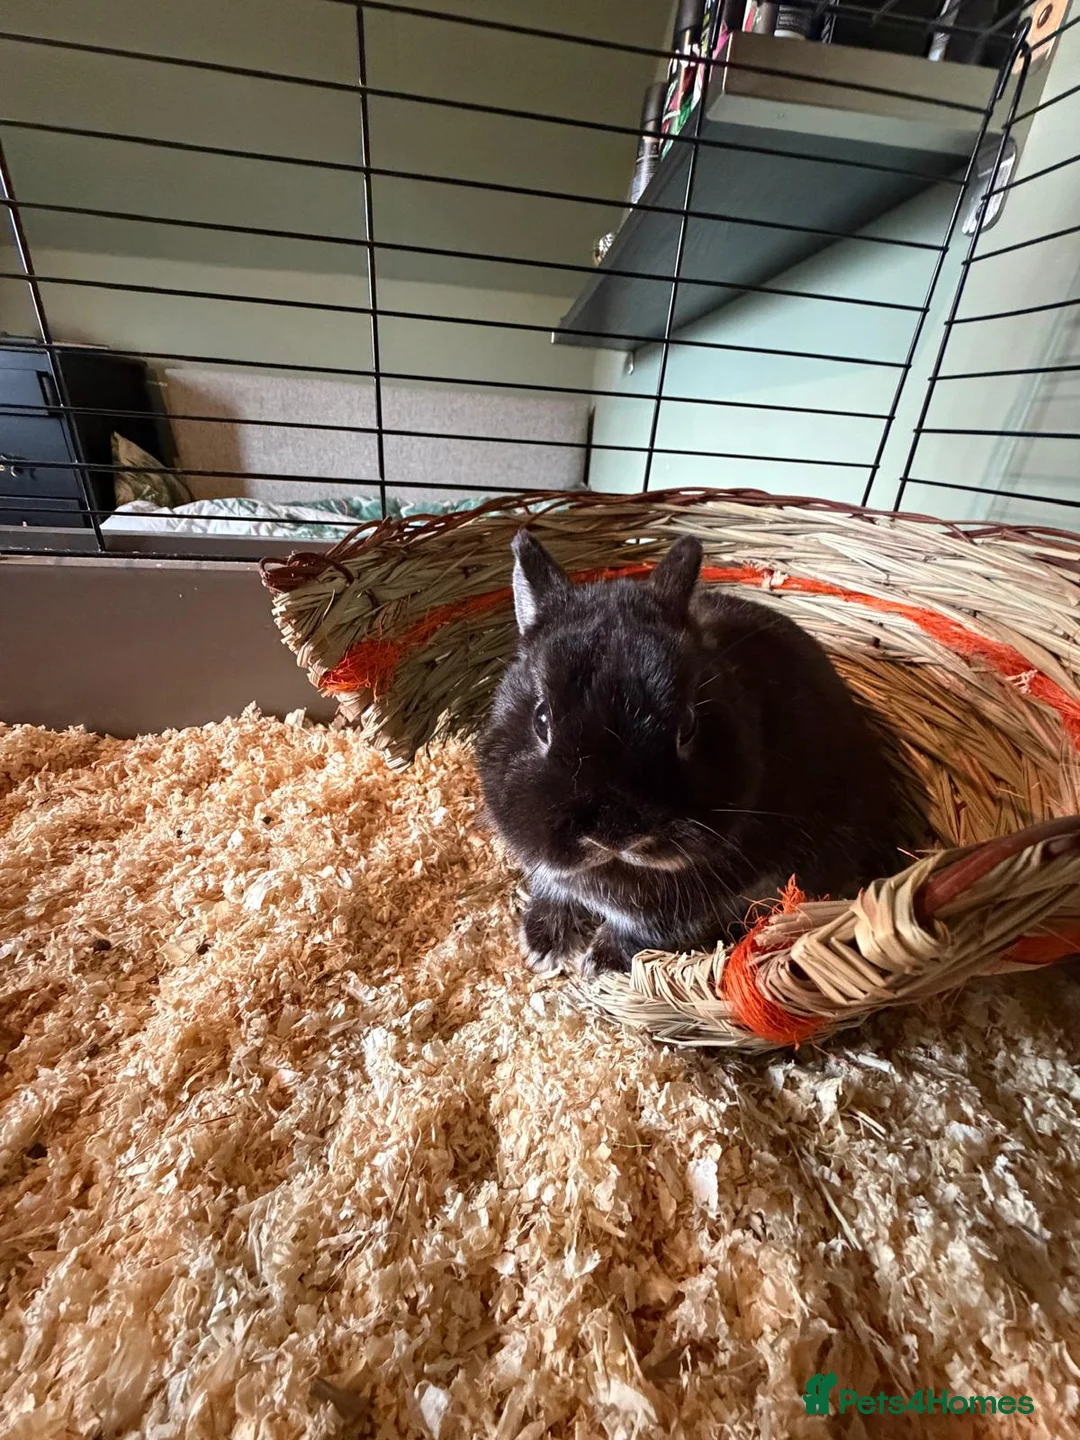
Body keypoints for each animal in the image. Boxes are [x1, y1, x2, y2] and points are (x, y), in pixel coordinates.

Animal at [477, 529, 909, 976]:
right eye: (541, 719)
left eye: (687, 726)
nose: (613, 833)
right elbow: (554, 888)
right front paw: (541, 944)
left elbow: (642, 931)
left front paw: (601, 963)